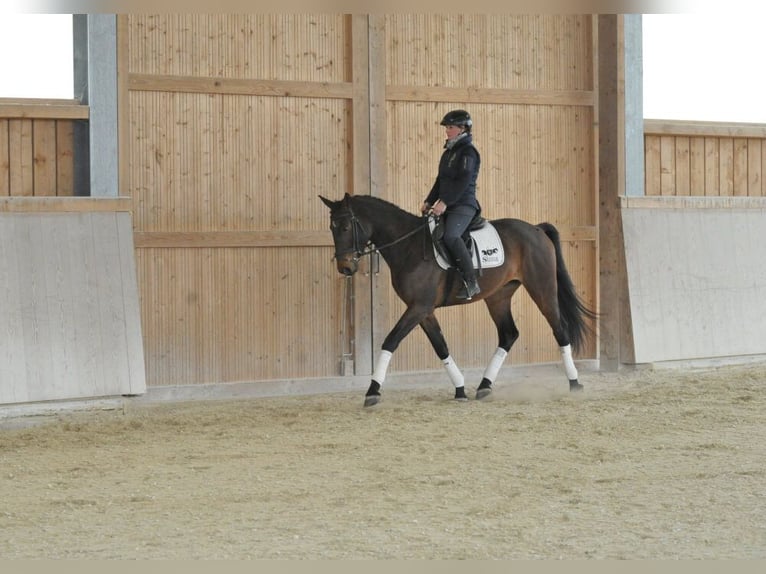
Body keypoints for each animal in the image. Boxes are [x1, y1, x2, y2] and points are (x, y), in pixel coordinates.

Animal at [320, 193, 597, 407]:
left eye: (346, 227)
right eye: (332, 228)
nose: (345, 268)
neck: (409, 246)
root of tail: (537, 229)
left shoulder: (418, 307)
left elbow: (390, 341)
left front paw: (373, 391)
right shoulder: (424, 310)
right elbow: (441, 346)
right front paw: (460, 389)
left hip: (542, 288)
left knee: (559, 330)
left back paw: (575, 383)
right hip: (498, 296)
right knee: (508, 334)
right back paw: (484, 386)